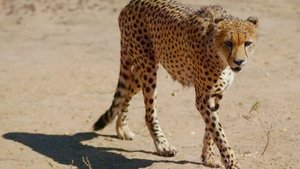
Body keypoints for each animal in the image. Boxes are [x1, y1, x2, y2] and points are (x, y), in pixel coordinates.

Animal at [93, 0, 258, 168]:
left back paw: (122, 128)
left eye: (247, 43)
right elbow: (218, 131)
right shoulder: (203, 98)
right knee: (149, 113)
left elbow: (211, 129)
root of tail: (130, 4)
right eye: (228, 43)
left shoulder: (217, 93)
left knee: (127, 91)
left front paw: (208, 157)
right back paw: (162, 145)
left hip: (142, 70)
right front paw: (231, 162)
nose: (239, 61)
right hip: (147, 67)